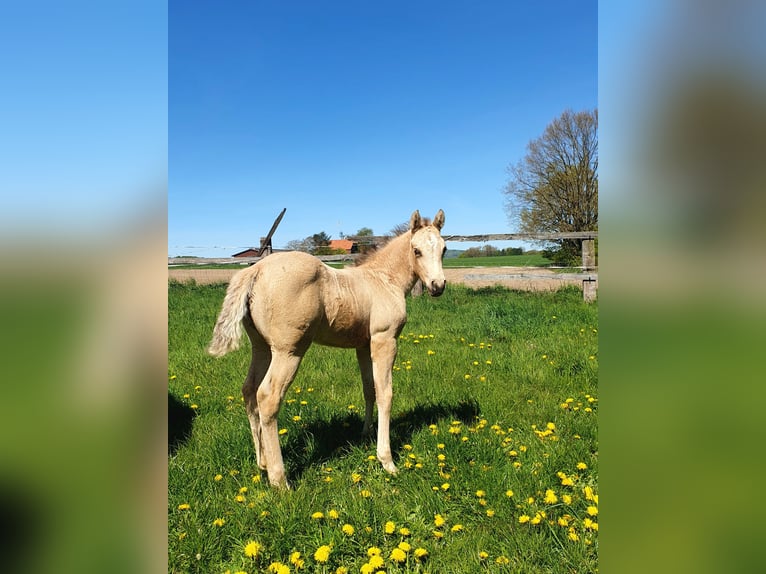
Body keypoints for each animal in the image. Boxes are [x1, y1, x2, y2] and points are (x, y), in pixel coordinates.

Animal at [207, 209, 447, 488]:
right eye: (416, 250)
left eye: (444, 249)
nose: (438, 286)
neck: (384, 280)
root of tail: (255, 270)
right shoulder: (384, 340)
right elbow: (385, 394)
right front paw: (387, 461)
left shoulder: (363, 345)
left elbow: (369, 390)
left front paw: (366, 434)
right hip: (289, 351)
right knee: (267, 396)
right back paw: (280, 479)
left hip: (262, 347)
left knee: (249, 390)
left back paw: (262, 463)